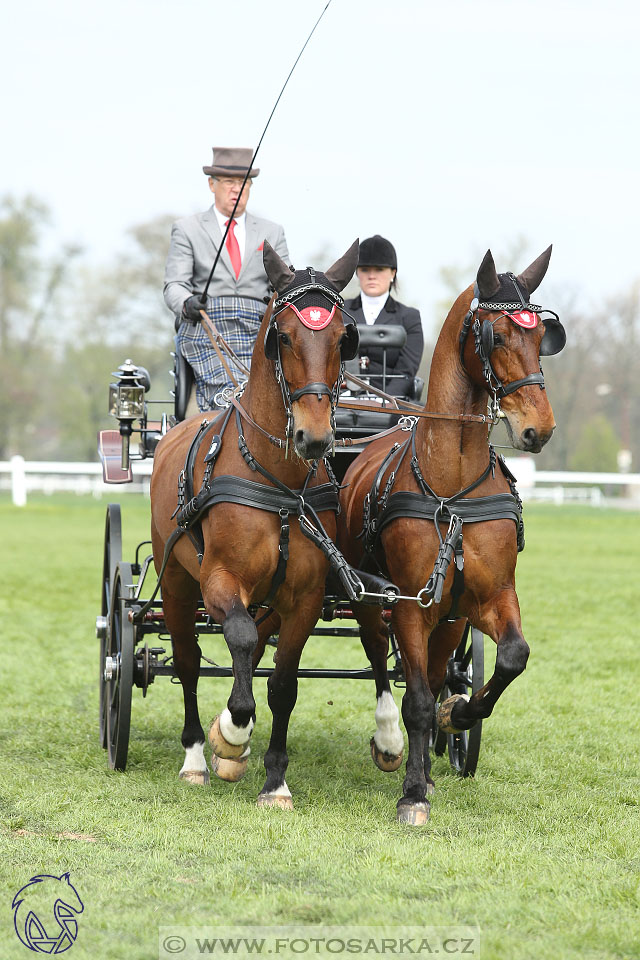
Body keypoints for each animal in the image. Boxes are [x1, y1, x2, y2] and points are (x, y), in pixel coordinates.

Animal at [149, 236, 360, 808]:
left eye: (342, 337)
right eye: (282, 337)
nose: (315, 437)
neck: (280, 484)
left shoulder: (304, 597)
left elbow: (282, 682)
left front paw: (275, 781)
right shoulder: (220, 580)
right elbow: (238, 640)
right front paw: (232, 735)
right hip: (176, 582)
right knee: (189, 659)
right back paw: (197, 756)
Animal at [338, 244, 568, 820]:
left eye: (542, 336)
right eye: (496, 336)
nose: (539, 429)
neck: (453, 486)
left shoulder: (487, 598)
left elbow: (511, 657)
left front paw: (458, 716)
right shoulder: (408, 604)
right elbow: (417, 697)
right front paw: (412, 793)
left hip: (447, 617)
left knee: (439, 668)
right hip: (373, 601)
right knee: (383, 664)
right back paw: (394, 748)